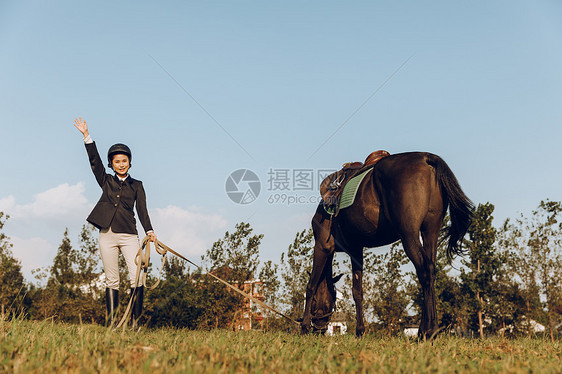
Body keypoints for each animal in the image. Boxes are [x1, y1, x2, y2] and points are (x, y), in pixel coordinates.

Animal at [300, 152, 470, 338]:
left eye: (316, 302)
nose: (319, 328)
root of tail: (426, 158)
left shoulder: (322, 246)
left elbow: (311, 285)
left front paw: (303, 326)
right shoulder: (355, 249)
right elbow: (357, 291)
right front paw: (360, 331)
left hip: (409, 235)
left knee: (424, 271)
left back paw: (428, 330)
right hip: (430, 232)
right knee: (431, 271)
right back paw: (427, 329)